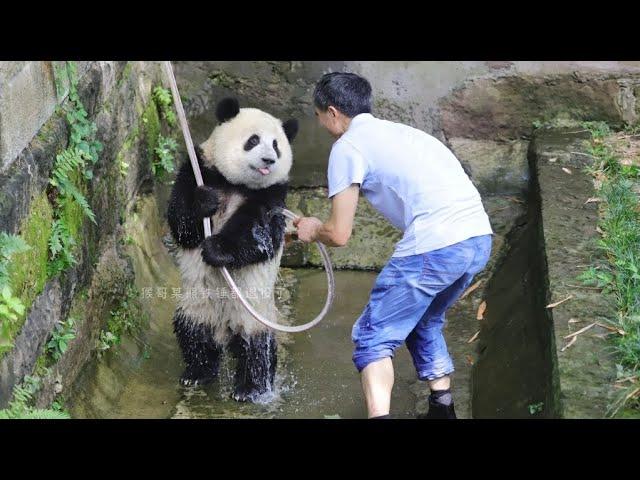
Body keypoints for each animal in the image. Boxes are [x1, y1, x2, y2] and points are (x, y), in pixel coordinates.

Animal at [169, 96, 302, 402]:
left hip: (254, 310)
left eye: (276, 145)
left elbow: (259, 237)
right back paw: (197, 373)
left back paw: (250, 389)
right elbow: (181, 222)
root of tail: (225, 330)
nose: (269, 160)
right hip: (197, 303)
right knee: (192, 334)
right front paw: (205, 202)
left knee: (257, 347)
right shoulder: (201, 168)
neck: (236, 184)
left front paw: (216, 249)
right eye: (253, 140)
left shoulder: (272, 197)